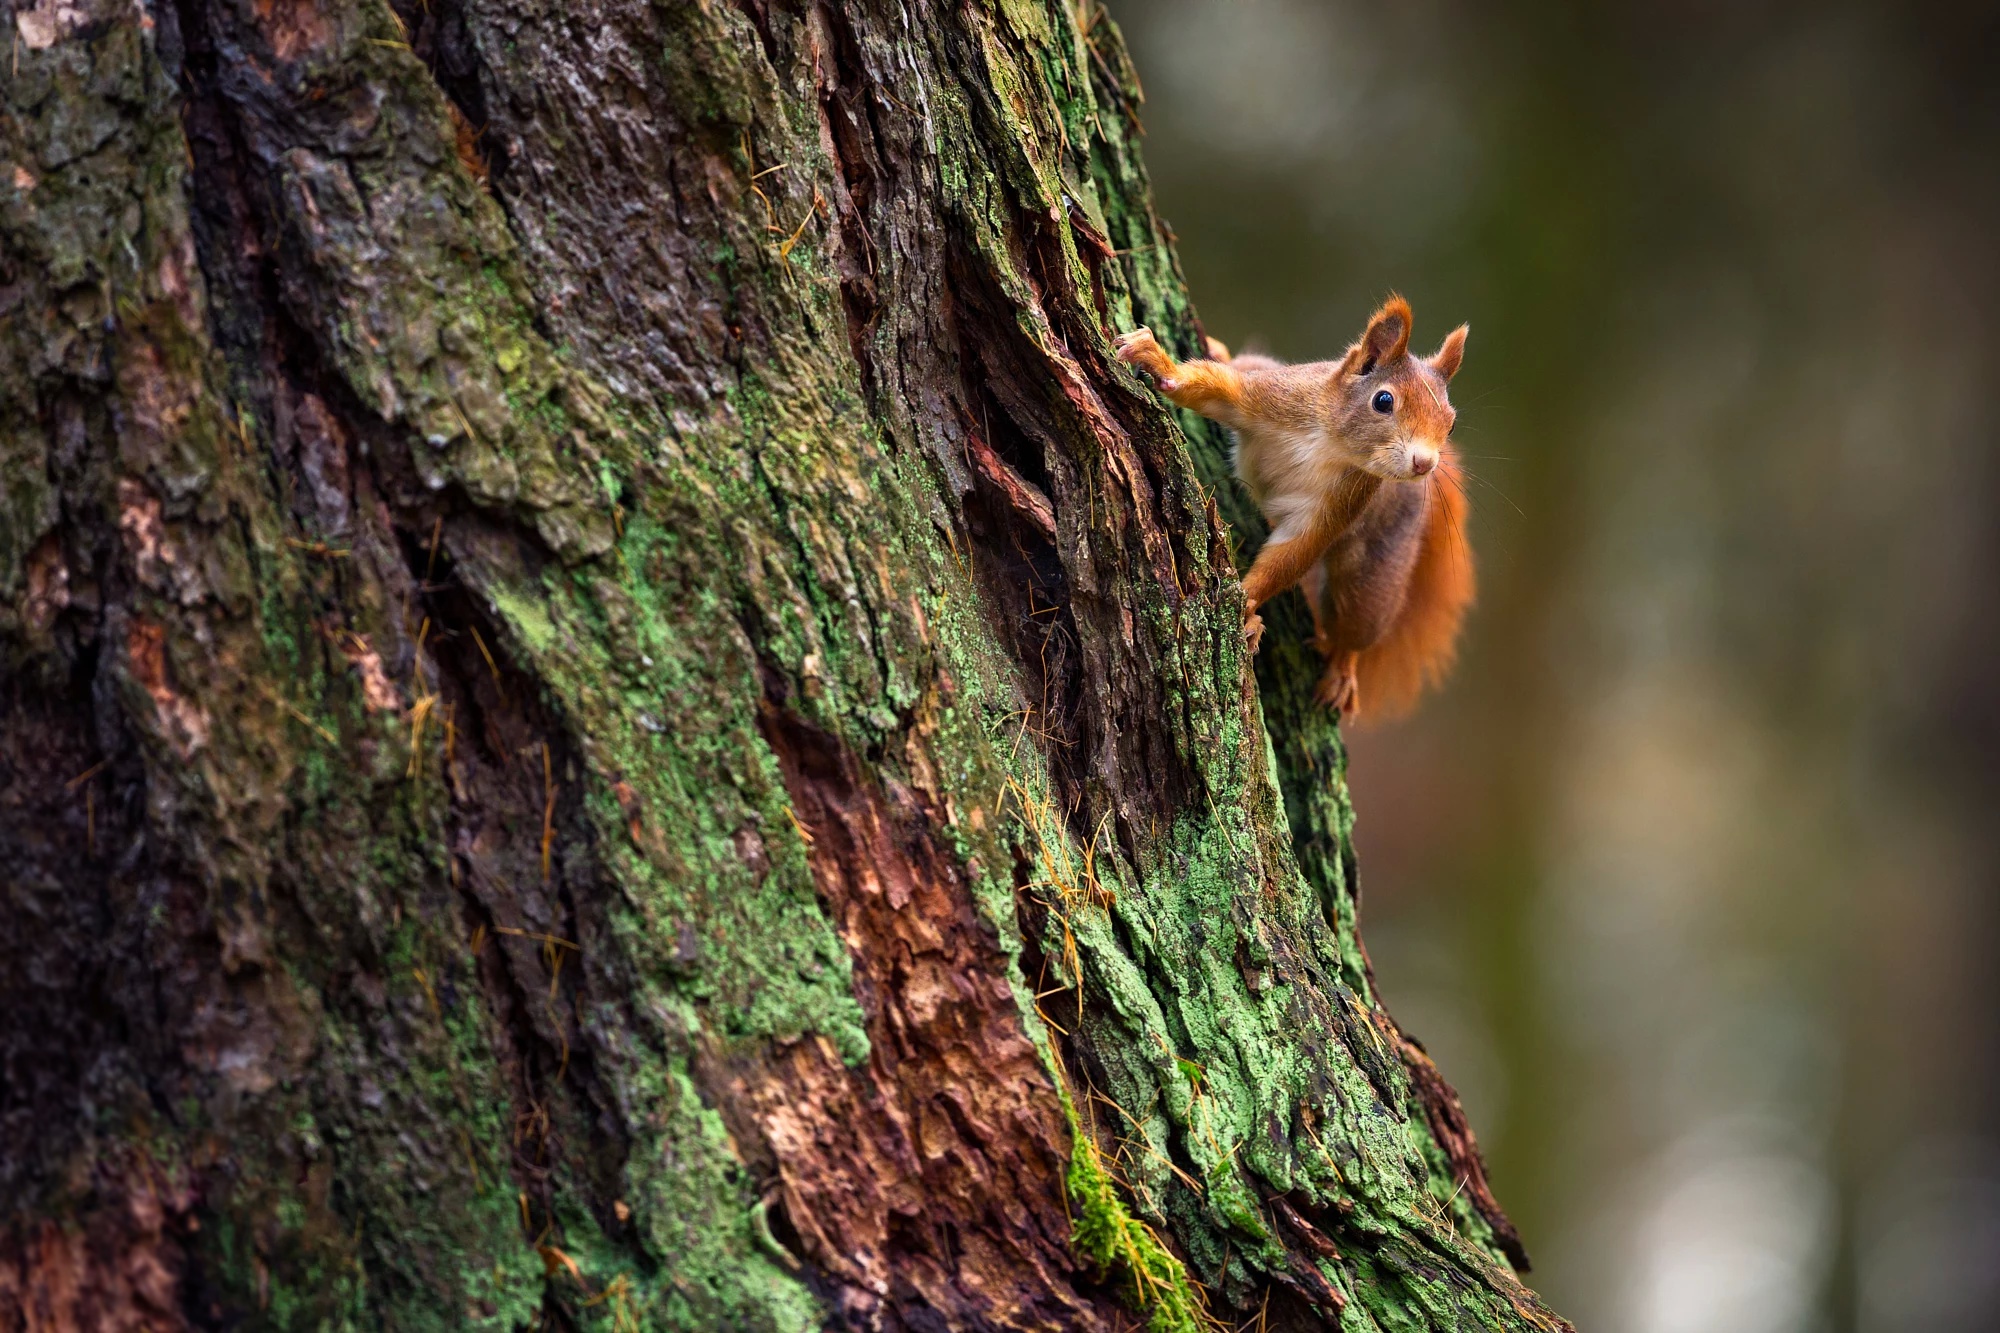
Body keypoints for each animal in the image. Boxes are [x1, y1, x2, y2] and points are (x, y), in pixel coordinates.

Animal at [1120, 296, 1480, 720]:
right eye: (1384, 400)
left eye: (1451, 425)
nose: (1425, 463)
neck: (1331, 442)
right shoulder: (1273, 396)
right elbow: (1213, 387)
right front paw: (1160, 363)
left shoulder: (1340, 504)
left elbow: (1292, 554)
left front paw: (1246, 605)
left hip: (1377, 575)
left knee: (1357, 629)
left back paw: (1343, 670)